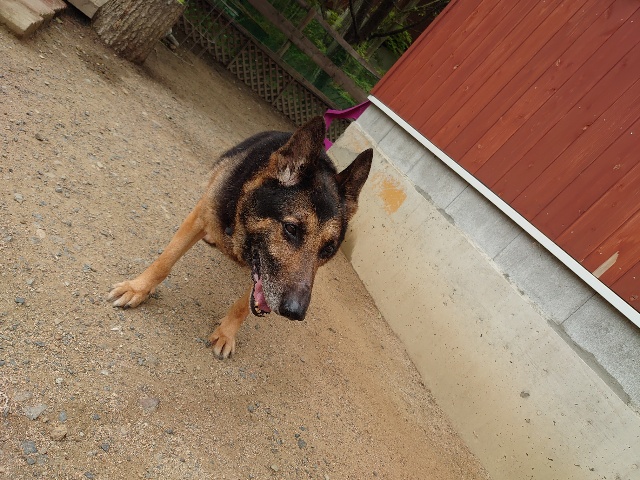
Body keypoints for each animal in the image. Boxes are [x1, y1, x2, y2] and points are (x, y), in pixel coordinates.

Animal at [108, 116, 373, 358]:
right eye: (291, 228)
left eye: (327, 249)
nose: (295, 313)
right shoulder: (201, 216)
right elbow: (165, 261)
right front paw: (137, 288)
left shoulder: (261, 272)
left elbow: (244, 306)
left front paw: (226, 333)